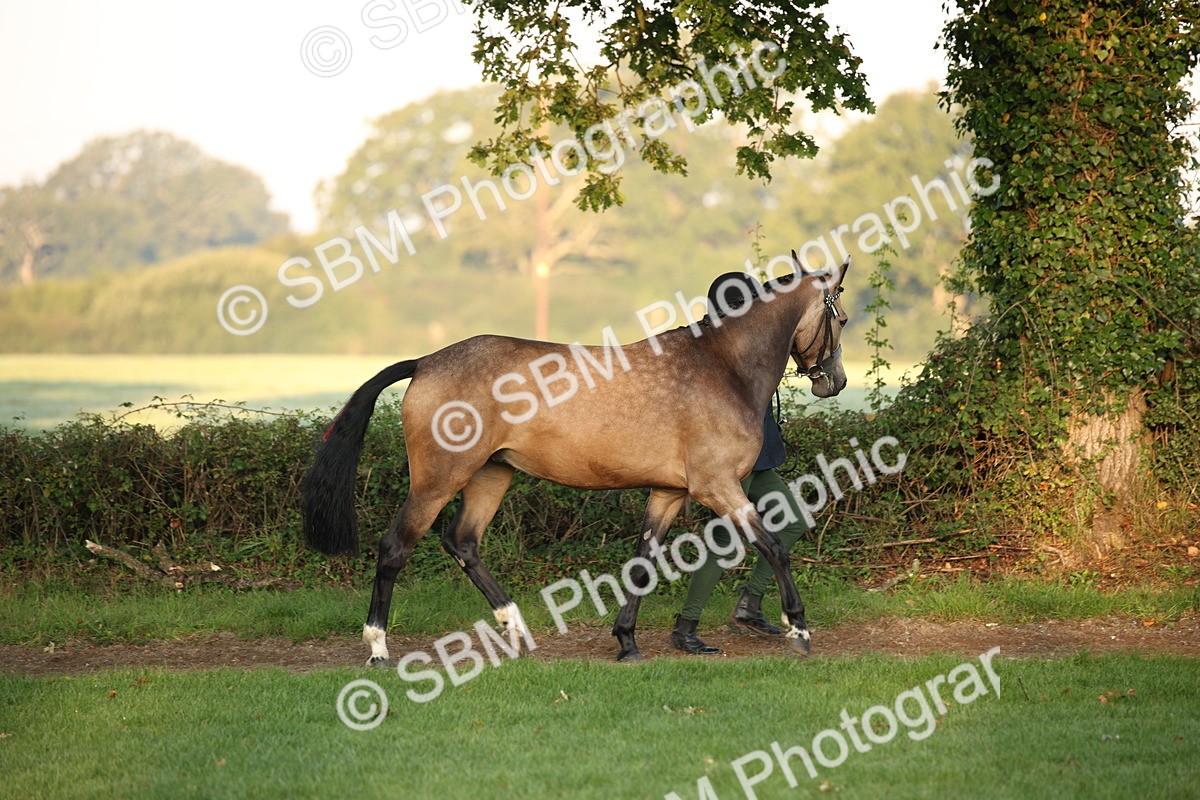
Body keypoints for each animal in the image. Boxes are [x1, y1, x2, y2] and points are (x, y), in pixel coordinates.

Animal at [302, 252, 849, 664]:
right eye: (840, 318)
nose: (836, 381)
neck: (722, 365)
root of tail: (426, 362)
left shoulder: (670, 492)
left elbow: (643, 561)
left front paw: (626, 641)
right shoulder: (719, 487)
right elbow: (774, 546)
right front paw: (798, 628)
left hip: (491, 475)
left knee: (463, 542)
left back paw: (516, 630)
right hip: (439, 479)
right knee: (396, 547)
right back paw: (378, 646)